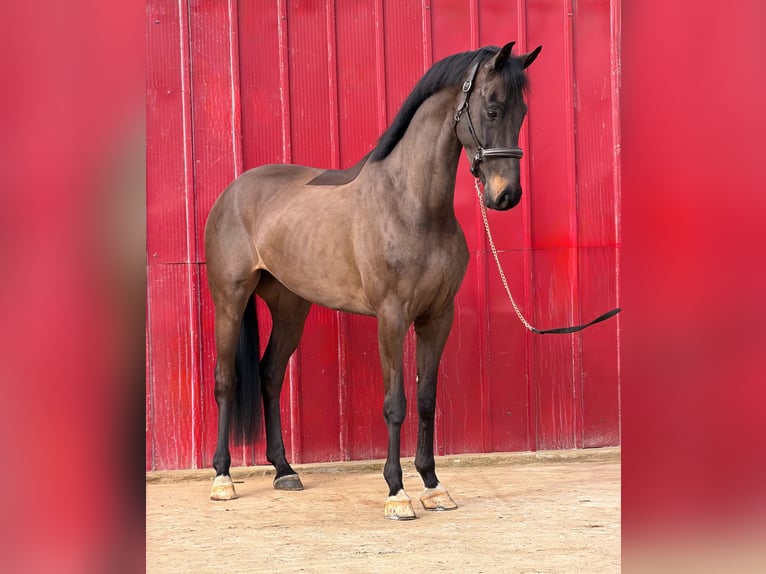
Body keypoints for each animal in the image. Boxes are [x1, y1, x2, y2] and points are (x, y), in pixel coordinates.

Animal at [204, 41, 542, 520]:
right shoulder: (392, 317)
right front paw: (397, 492)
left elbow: (425, 400)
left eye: (523, 112)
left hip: (291, 307)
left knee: (270, 374)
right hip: (229, 300)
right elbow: (395, 404)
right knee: (225, 379)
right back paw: (222, 477)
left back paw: (284, 470)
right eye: (493, 109)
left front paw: (433, 486)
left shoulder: (437, 317)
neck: (412, 204)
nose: (506, 196)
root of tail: (233, 192)